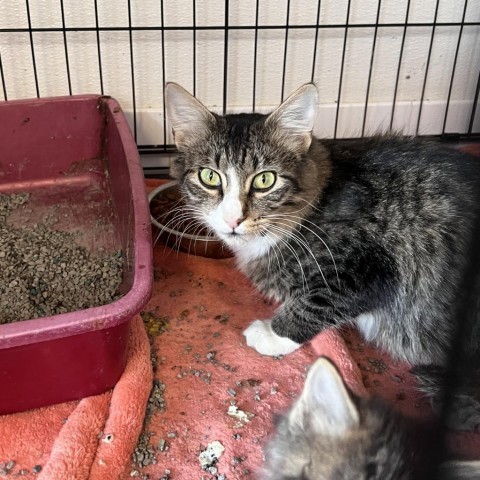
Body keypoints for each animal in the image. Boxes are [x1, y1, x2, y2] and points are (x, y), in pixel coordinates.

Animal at [164, 82, 480, 432]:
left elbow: (314, 305)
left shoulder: (370, 270)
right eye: (209, 176)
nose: (234, 219)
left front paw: (272, 334)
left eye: (265, 180)